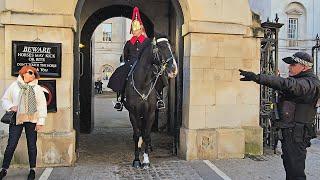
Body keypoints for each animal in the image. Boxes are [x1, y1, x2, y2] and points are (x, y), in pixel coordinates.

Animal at [123, 35, 178, 168]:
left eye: (170, 48)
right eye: (161, 48)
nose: (174, 70)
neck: (142, 83)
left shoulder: (150, 113)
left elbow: (147, 134)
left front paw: (146, 160)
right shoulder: (133, 113)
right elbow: (137, 134)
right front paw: (137, 160)